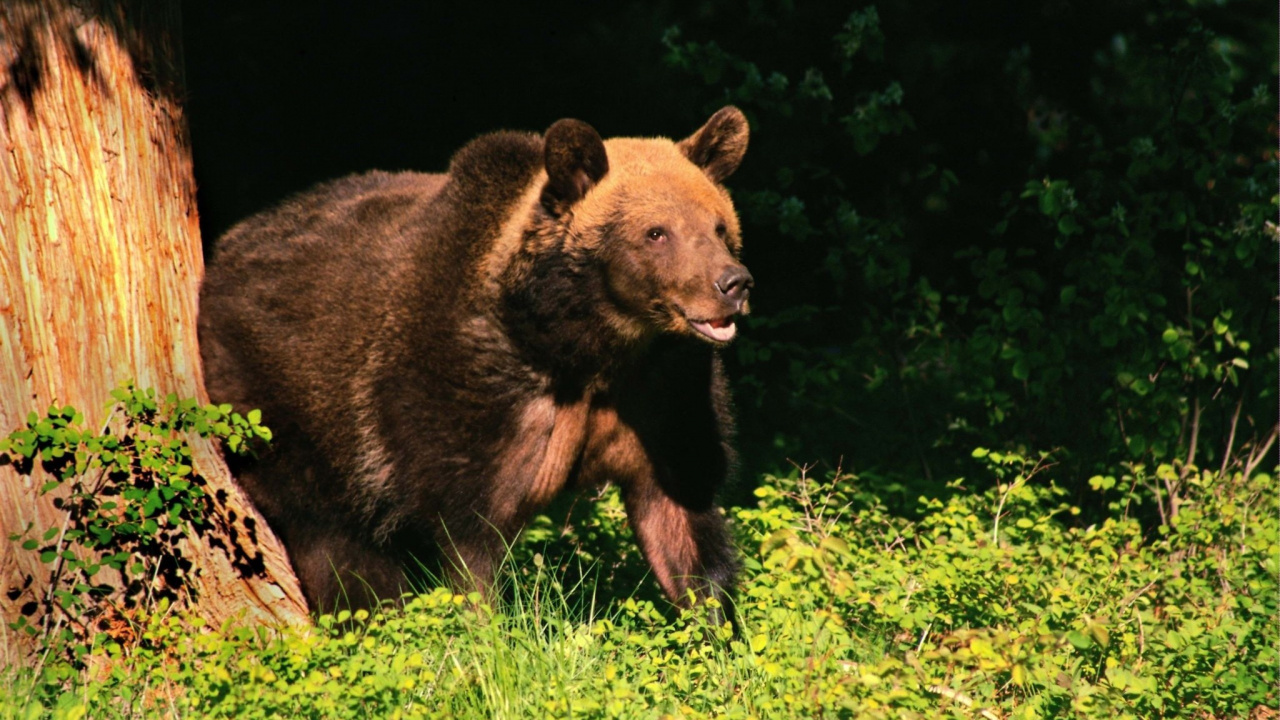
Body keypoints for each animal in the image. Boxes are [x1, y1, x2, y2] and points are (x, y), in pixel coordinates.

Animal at [198, 107, 753, 624]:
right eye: (656, 232)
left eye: (719, 226)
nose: (733, 283)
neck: (582, 344)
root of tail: (225, 251)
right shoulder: (465, 397)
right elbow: (470, 546)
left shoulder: (663, 398)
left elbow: (683, 524)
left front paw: (714, 631)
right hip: (286, 414)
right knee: (336, 544)